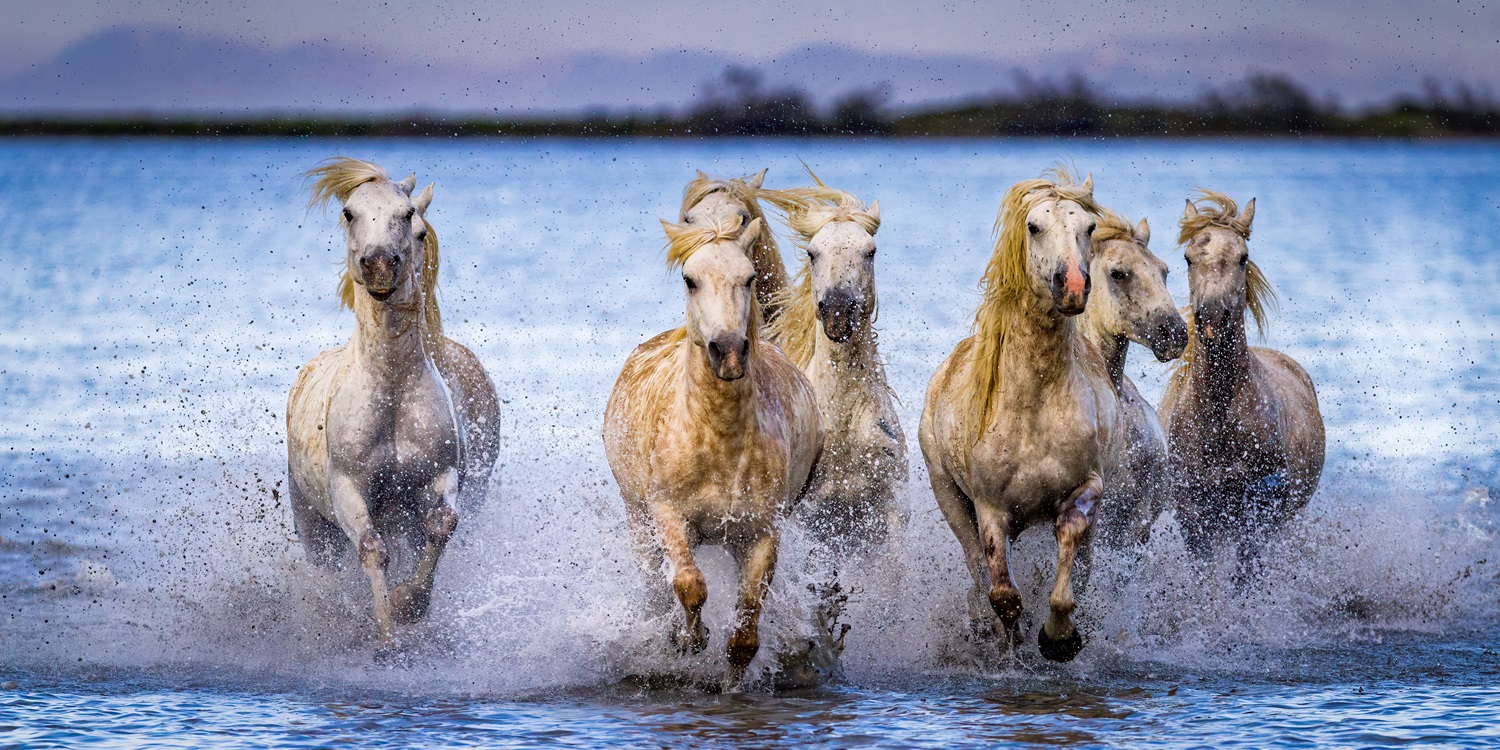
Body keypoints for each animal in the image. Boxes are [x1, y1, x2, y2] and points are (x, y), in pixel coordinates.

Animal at [286, 156, 504, 645]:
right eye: (348, 212)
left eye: (408, 218)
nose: (381, 264)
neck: (391, 389)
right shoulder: (348, 490)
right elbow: (372, 550)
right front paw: (385, 634)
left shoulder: (438, 477)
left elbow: (441, 527)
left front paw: (409, 603)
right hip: (314, 527)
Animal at [600, 217, 822, 687]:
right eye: (690, 280)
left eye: (749, 278)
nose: (730, 352)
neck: (716, 437)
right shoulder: (667, 512)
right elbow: (689, 584)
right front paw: (689, 640)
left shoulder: (761, 532)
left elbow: (745, 634)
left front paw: (730, 679)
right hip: (638, 520)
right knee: (655, 588)